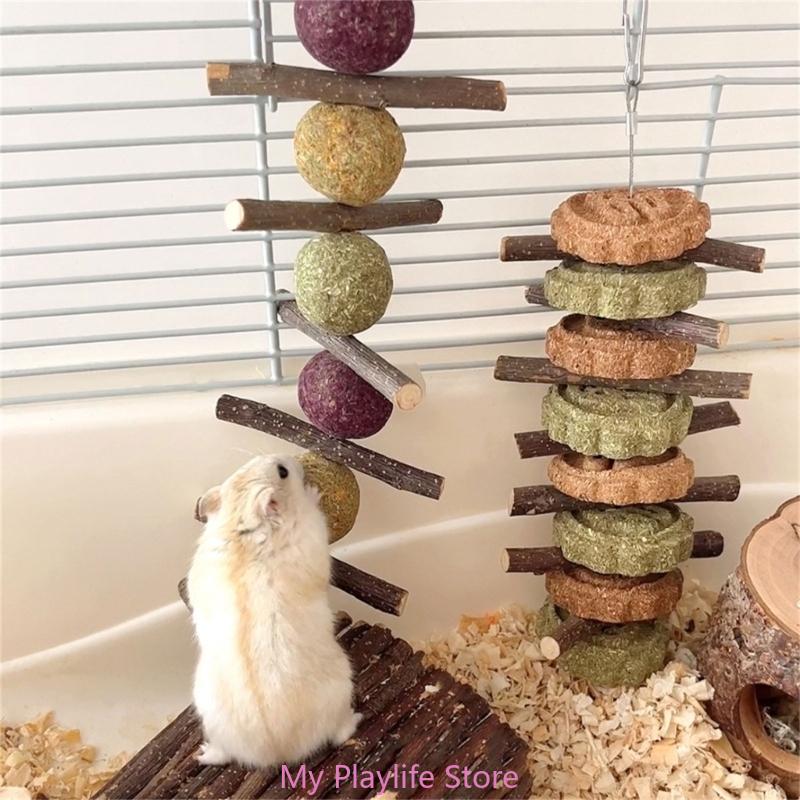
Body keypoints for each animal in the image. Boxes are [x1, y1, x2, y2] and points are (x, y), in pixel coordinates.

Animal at [187, 454, 360, 769]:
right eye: (283, 472)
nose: (289, 458)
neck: (242, 524)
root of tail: (277, 752)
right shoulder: (314, 531)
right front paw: (312, 492)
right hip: (342, 687)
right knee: (339, 733)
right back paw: (356, 718)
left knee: (222, 752)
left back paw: (203, 753)